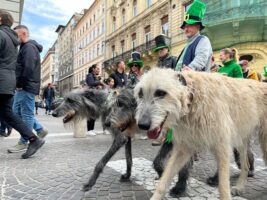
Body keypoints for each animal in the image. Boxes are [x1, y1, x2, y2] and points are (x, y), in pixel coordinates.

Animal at [135, 68, 267, 199]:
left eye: (161, 93)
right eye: (140, 94)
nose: (142, 125)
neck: (193, 98)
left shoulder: (222, 147)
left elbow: (223, 187)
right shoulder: (184, 147)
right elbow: (163, 182)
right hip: (241, 137)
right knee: (245, 164)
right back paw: (240, 187)